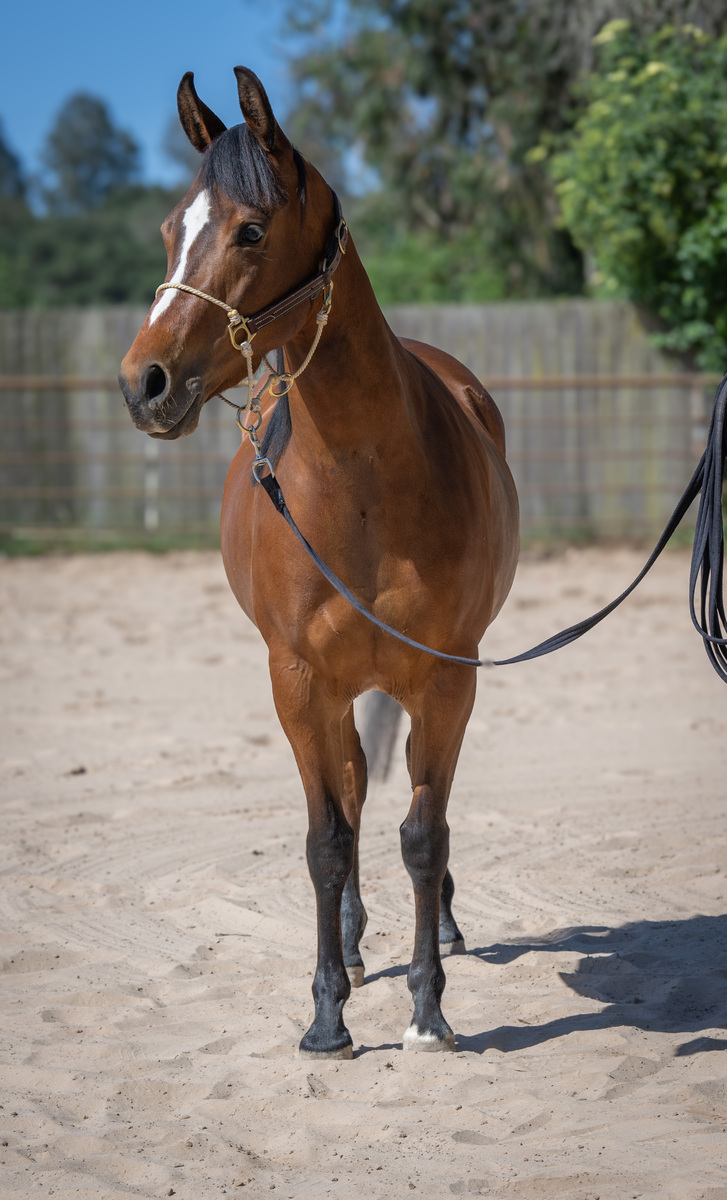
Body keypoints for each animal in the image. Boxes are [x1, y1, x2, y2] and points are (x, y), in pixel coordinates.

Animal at [119, 66, 519, 1059]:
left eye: (250, 231)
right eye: (170, 227)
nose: (143, 383)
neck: (364, 481)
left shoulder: (446, 679)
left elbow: (424, 832)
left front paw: (427, 1008)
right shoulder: (296, 680)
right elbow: (326, 839)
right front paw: (328, 1013)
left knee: (410, 806)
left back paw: (437, 926)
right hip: (335, 690)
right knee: (349, 792)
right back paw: (354, 939)